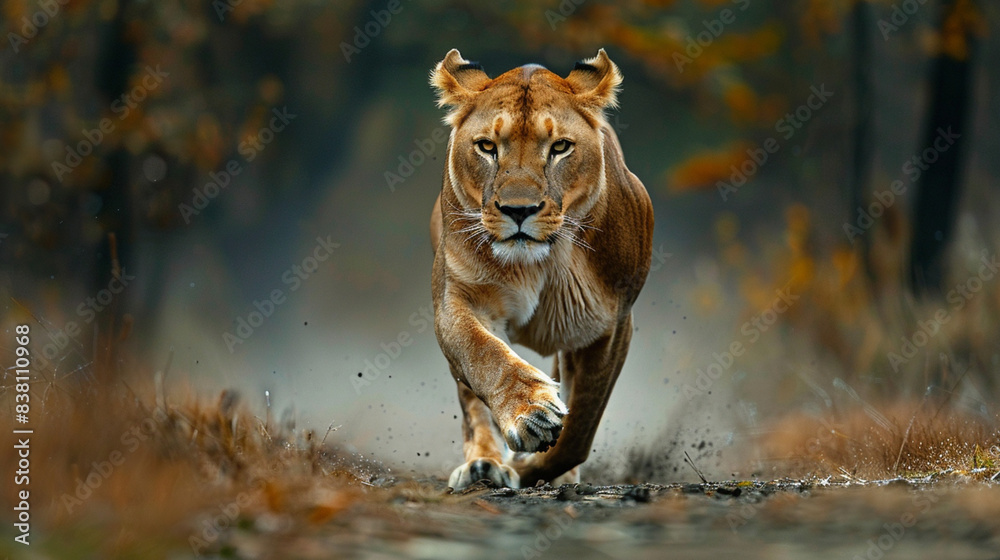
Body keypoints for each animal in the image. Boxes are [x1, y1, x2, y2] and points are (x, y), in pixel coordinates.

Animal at [428, 49, 654, 489]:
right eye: (487, 147)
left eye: (560, 147)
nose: (519, 210)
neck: (541, 263)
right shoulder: (456, 298)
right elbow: (483, 354)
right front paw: (531, 414)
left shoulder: (610, 325)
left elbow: (579, 431)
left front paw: (533, 468)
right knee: (471, 402)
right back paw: (483, 465)